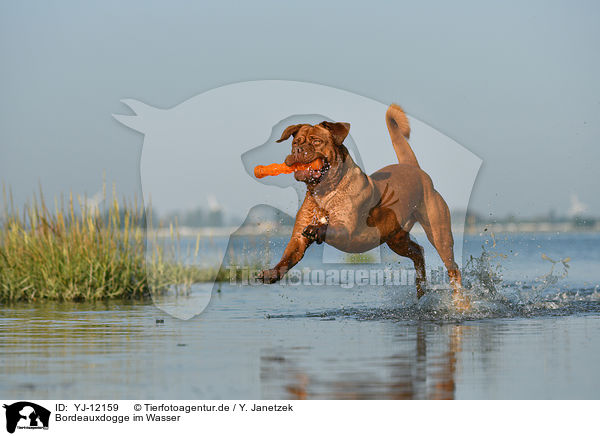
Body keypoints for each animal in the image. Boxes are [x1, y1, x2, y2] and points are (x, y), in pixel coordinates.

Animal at [258, 105, 464, 304]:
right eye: (295, 143)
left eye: (316, 141)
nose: (297, 151)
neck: (324, 191)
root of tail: (415, 168)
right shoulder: (298, 238)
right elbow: (287, 256)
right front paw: (271, 273)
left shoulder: (345, 229)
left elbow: (328, 226)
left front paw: (317, 228)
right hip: (397, 239)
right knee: (418, 252)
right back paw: (421, 289)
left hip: (439, 233)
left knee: (453, 268)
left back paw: (460, 301)